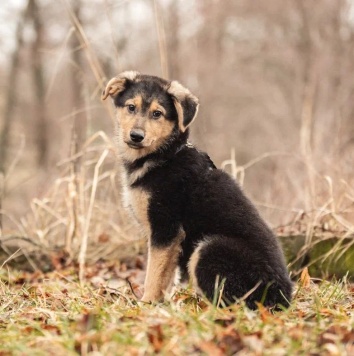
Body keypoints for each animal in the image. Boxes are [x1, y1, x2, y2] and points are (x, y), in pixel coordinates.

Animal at [101, 71, 292, 308]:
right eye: (131, 107)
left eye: (157, 114)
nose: (136, 136)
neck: (165, 156)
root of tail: (281, 297)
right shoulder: (169, 240)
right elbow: (165, 276)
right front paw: (161, 304)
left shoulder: (165, 228)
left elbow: (153, 274)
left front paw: (146, 304)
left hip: (209, 248)